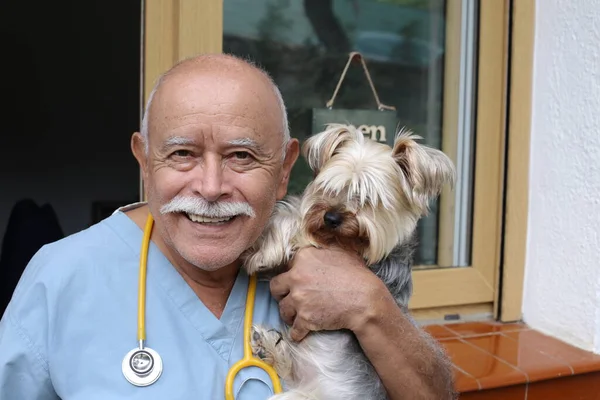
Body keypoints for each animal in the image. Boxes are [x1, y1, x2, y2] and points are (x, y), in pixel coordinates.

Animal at [241, 125, 452, 400]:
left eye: (369, 199)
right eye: (329, 189)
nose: (331, 218)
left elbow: (294, 221)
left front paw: (264, 250)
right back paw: (269, 348)